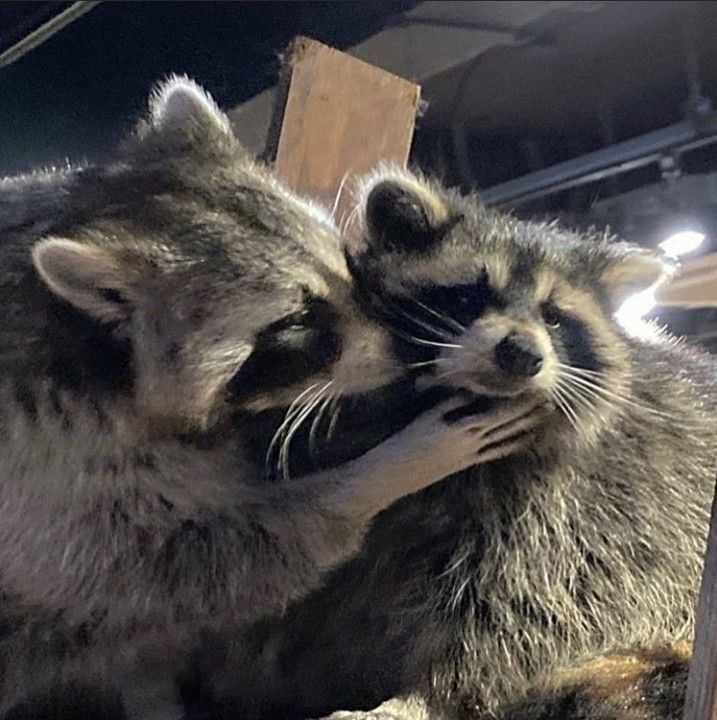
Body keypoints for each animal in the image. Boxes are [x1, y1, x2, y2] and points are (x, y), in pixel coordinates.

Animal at [0, 86, 536, 720]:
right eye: (296, 322)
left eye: (344, 264)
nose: (409, 344)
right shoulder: (46, 474)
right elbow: (190, 566)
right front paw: (387, 470)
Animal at [222, 169, 712, 720]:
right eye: (467, 297)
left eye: (554, 317)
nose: (521, 353)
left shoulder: (569, 521)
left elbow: (517, 618)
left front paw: (424, 697)